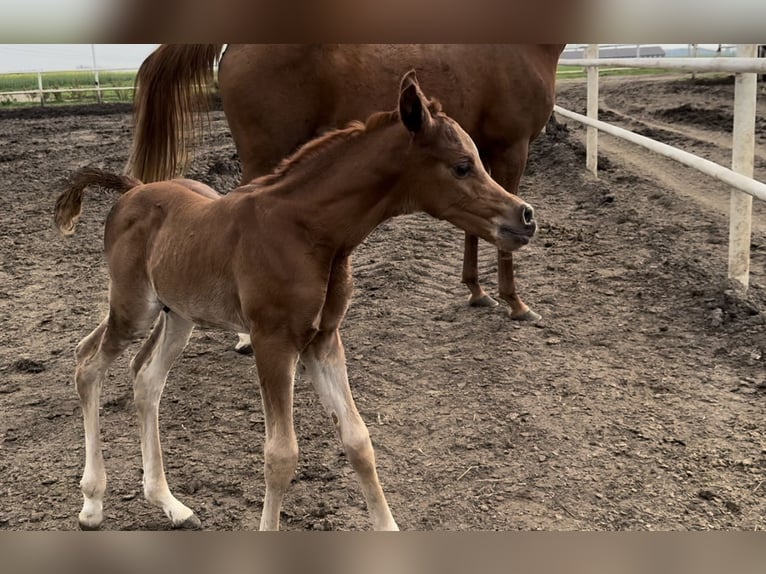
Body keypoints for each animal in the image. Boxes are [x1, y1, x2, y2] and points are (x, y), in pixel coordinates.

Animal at [57, 73, 536, 536]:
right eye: (461, 166)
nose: (525, 217)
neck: (308, 232)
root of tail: (131, 191)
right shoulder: (274, 341)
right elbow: (281, 454)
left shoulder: (324, 340)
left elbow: (358, 440)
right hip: (133, 307)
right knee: (88, 362)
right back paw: (92, 503)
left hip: (179, 315)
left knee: (146, 377)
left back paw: (172, 505)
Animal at [130, 45, 564, 354]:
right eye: (459, 166)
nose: (528, 217)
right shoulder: (513, 148)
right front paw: (515, 303)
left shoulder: (489, 152)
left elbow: (475, 225)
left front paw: (476, 291)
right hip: (264, 151)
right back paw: (245, 337)